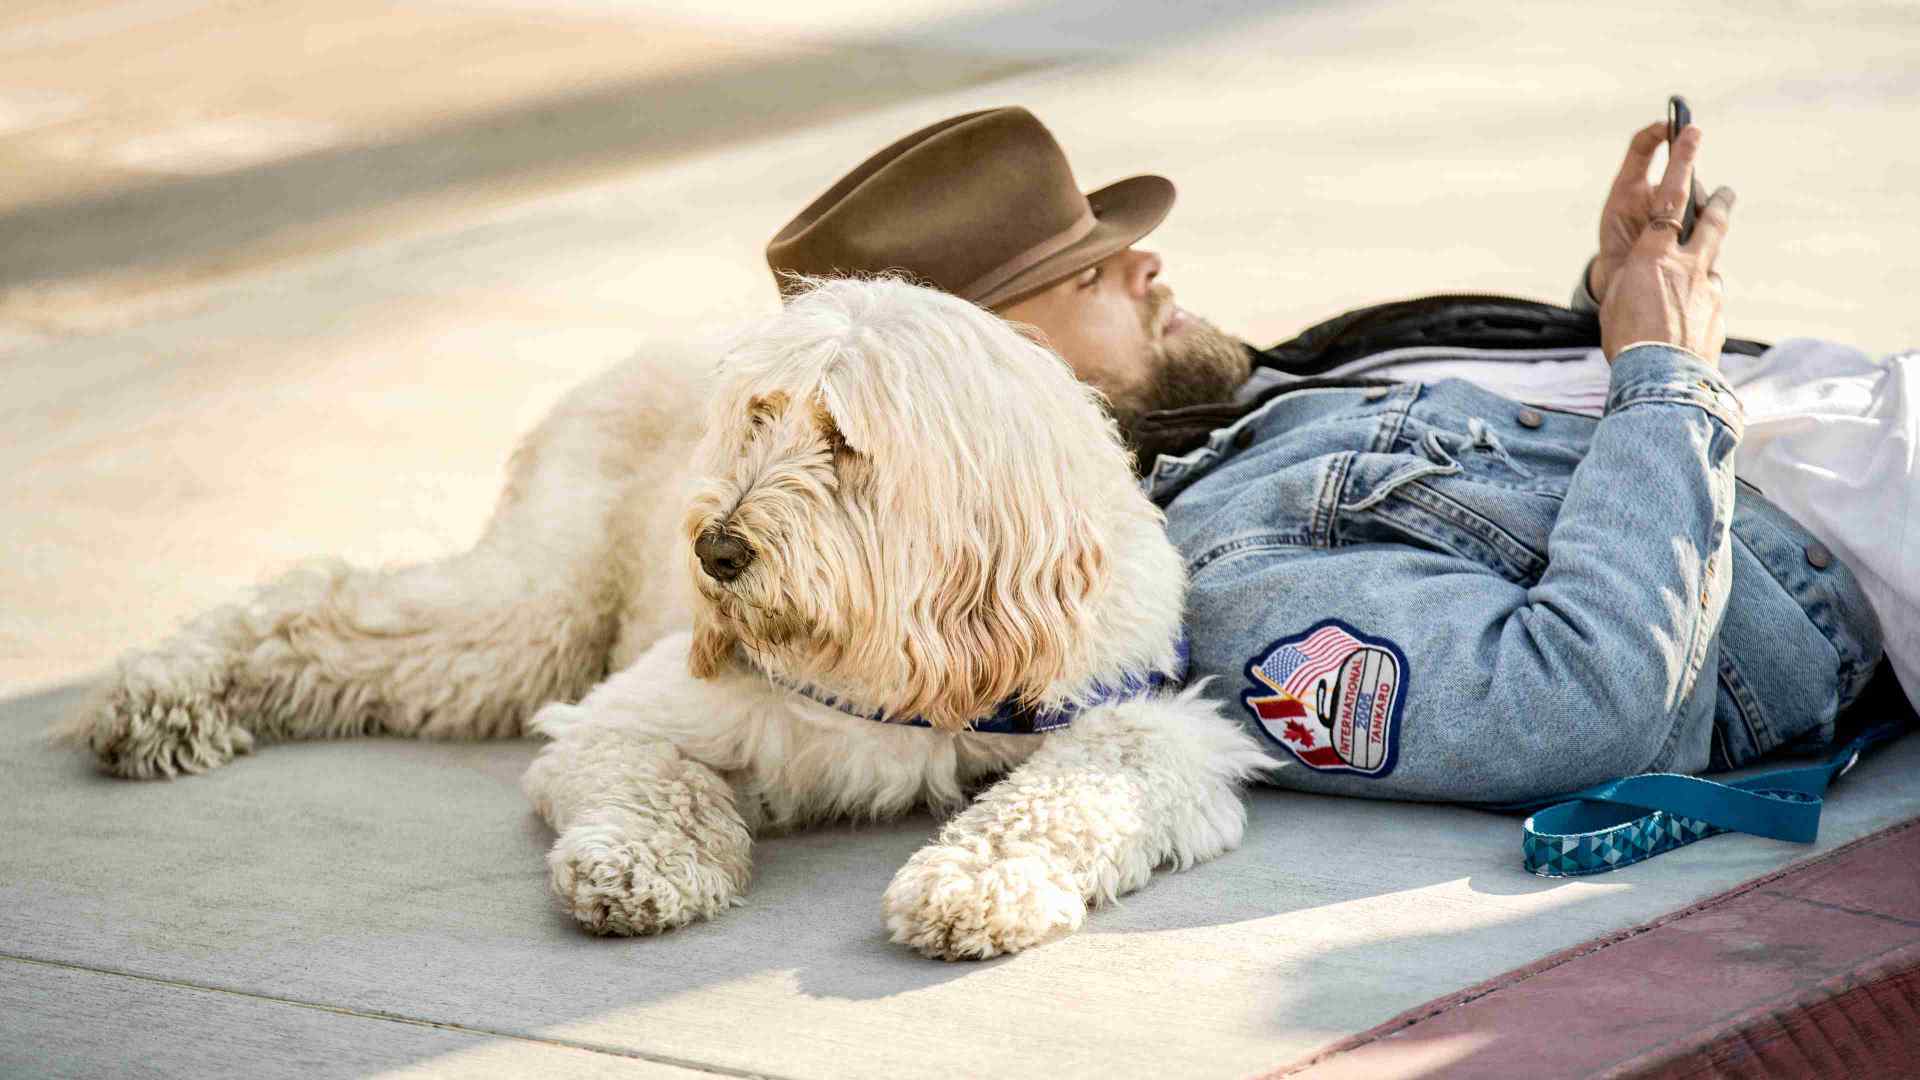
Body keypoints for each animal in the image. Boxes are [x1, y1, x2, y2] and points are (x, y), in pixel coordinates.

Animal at [60, 276, 1267, 957]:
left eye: (844, 440)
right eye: (758, 418)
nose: (716, 551)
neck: (901, 646)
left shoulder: (1149, 719)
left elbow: (1068, 793)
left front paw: (979, 887)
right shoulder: (625, 715)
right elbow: (659, 782)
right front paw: (640, 870)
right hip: (530, 614)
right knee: (319, 608)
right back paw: (155, 699)